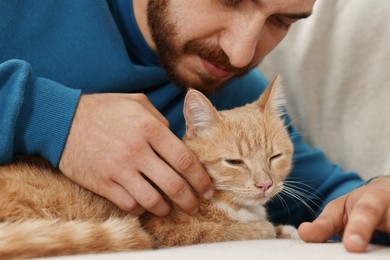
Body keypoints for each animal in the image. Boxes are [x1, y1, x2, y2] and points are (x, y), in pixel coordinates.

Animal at [0, 76, 292, 258]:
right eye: (235, 162)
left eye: (275, 157)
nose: (265, 184)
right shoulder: (166, 232)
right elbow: (228, 232)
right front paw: (268, 229)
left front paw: (284, 229)